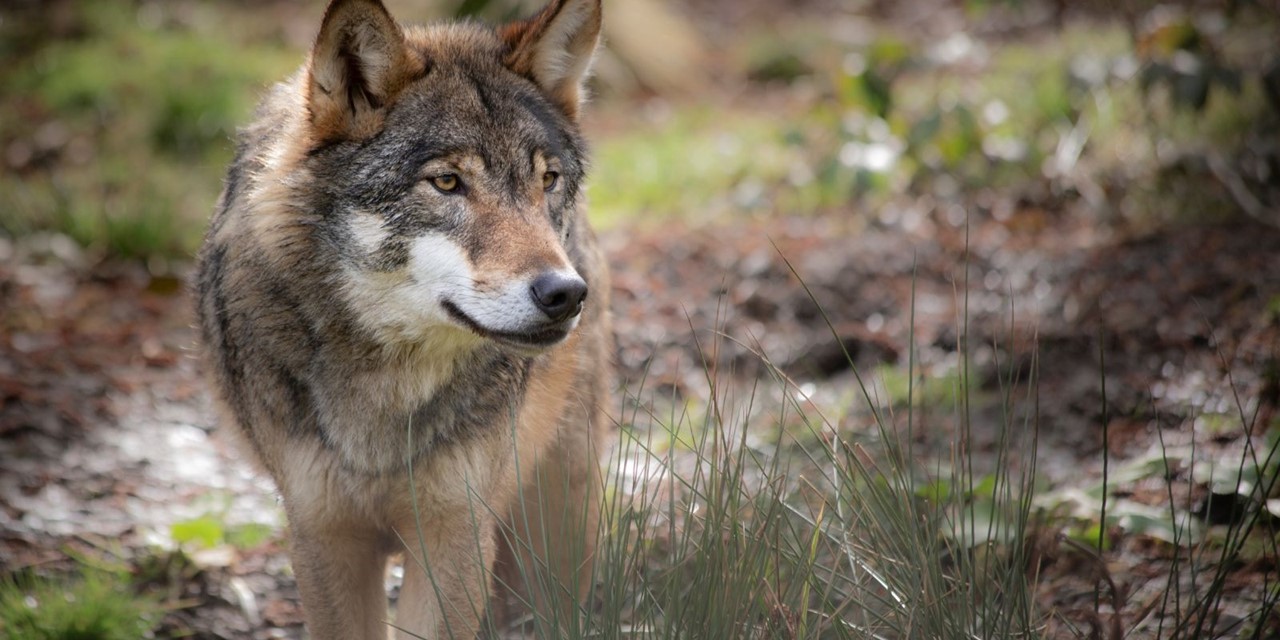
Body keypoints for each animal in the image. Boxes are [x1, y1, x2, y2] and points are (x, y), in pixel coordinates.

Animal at [192, 0, 611, 637]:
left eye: (547, 180)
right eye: (447, 182)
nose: (565, 293)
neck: (385, 390)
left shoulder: (455, 535)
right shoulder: (323, 537)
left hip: (560, 509)